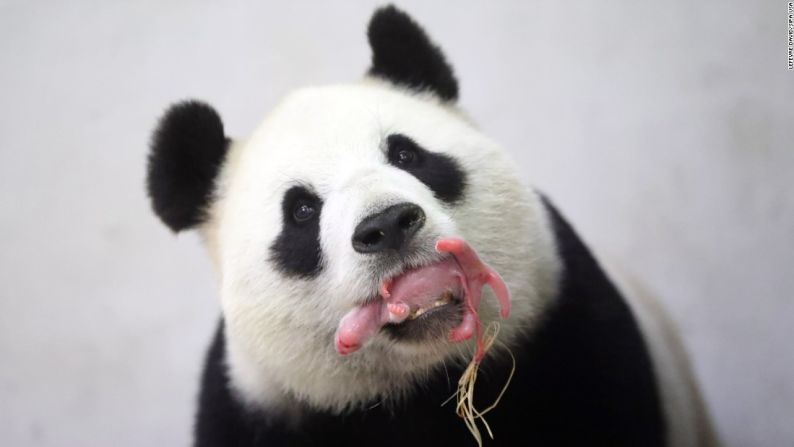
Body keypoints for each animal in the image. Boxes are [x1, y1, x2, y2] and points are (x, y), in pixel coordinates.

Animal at [145, 4, 716, 447]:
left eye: (406, 154)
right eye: (302, 211)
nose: (388, 225)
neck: (423, 382)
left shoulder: (573, 332)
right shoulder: (258, 407)